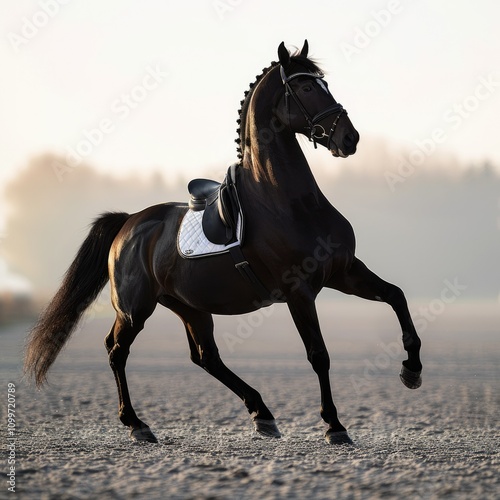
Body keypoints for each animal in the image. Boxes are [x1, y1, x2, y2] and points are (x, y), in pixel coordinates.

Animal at [24, 41, 422, 444]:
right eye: (308, 87)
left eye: (325, 84)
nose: (349, 139)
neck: (289, 201)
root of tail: (128, 223)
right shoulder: (299, 291)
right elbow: (318, 354)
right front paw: (334, 425)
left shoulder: (344, 272)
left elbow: (396, 296)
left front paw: (412, 369)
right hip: (135, 309)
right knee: (117, 351)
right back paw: (137, 424)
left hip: (189, 306)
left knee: (205, 356)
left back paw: (262, 414)